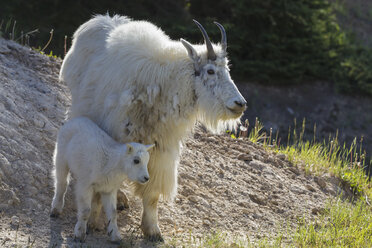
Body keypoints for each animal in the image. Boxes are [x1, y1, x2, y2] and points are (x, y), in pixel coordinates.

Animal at [60, 14, 247, 241]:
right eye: (210, 71)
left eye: (227, 70)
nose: (240, 104)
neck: (163, 86)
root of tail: (94, 21)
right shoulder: (113, 137)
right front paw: (95, 221)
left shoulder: (161, 151)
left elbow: (152, 194)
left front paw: (152, 230)